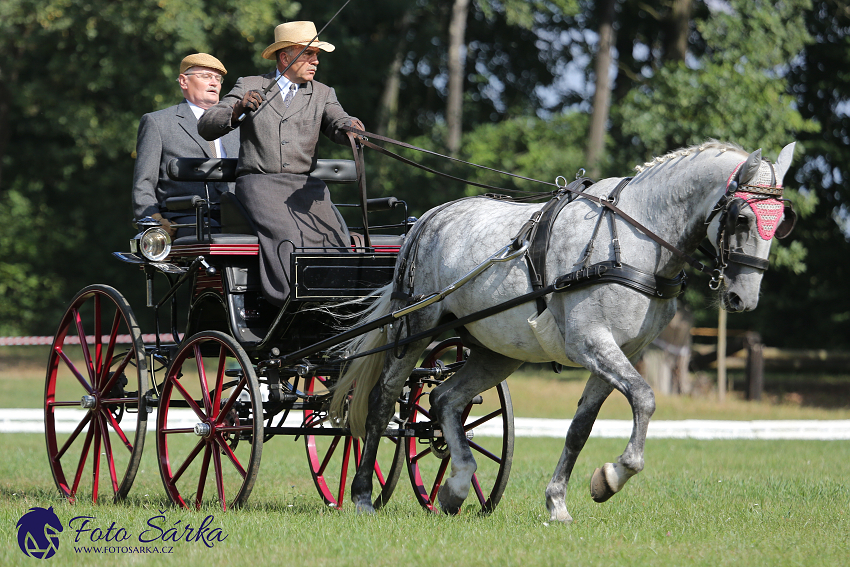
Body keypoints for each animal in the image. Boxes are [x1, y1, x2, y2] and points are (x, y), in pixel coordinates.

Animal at [332, 142, 796, 524]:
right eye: (742, 217)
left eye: (781, 224)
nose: (743, 298)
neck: (635, 239)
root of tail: (426, 220)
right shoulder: (592, 343)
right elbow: (644, 398)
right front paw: (616, 473)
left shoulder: (617, 353)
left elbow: (580, 428)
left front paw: (562, 500)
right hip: (415, 329)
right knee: (382, 401)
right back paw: (362, 495)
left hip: (497, 351)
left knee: (445, 398)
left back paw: (456, 487)